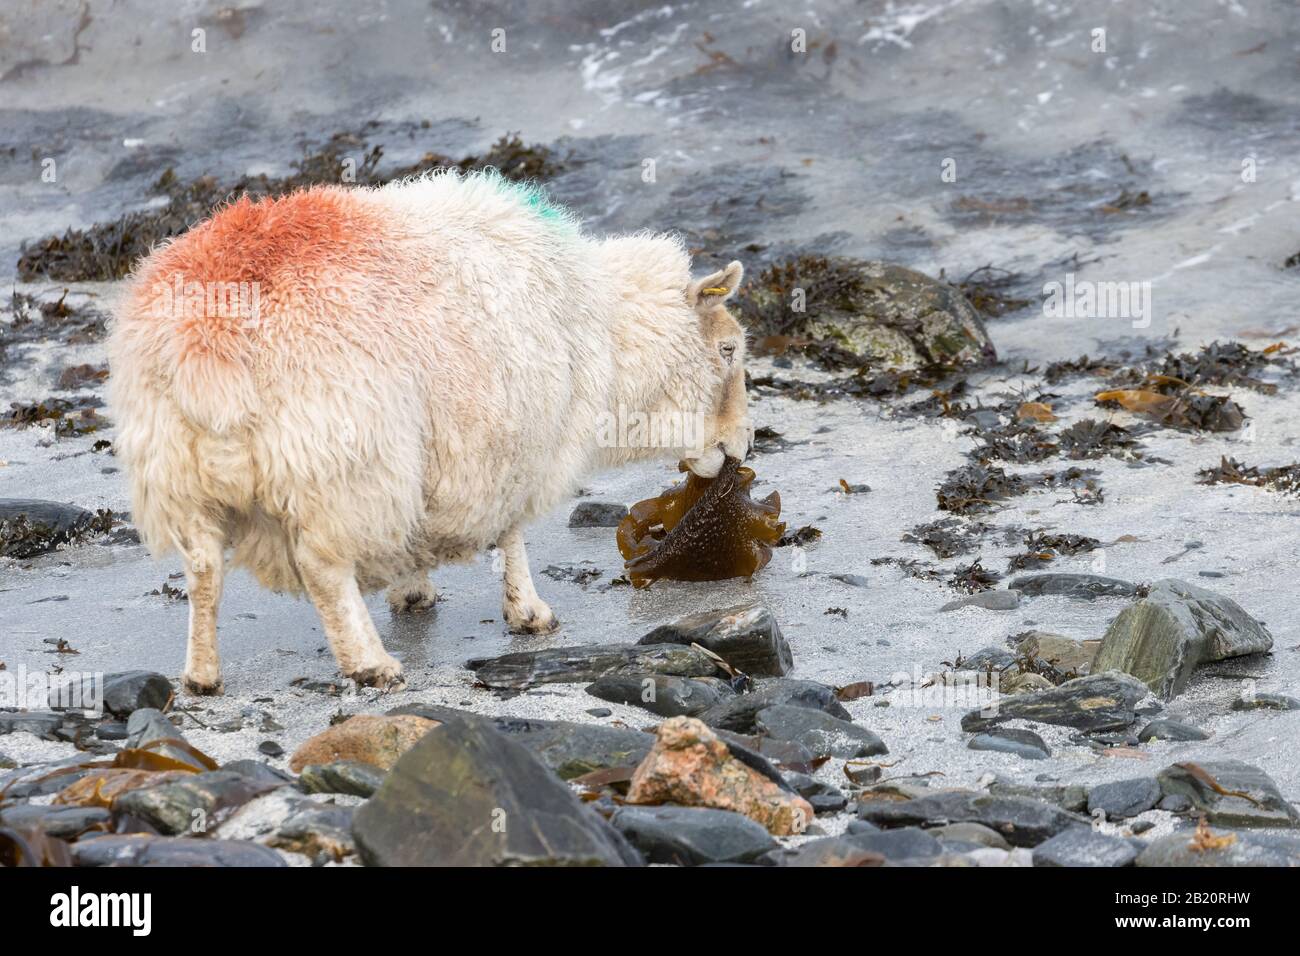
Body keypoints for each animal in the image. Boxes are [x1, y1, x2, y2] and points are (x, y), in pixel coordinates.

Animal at [110, 171, 754, 691]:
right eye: (727, 350)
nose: (741, 447)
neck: (601, 324)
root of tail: (205, 341)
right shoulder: (506, 443)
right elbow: (512, 534)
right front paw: (529, 612)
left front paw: (412, 589)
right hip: (342, 462)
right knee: (322, 567)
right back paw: (369, 663)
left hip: (178, 473)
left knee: (203, 569)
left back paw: (201, 674)